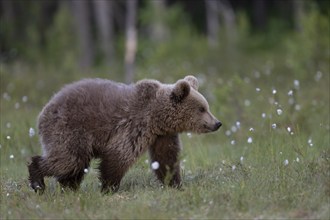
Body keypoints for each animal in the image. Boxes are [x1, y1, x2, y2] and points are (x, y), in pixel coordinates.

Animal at [27, 75, 220, 192]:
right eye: (202, 109)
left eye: (207, 107)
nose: (217, 123)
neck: (157, 119)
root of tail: (44, 110)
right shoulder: (133, 126)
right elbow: (118, 156)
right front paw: (109, 187)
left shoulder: (162, 136)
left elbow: (166, 159)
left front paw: (174, 183)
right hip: (70, 129)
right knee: (68, 159)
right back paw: (38, 180)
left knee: (75, 164)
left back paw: (69, 187)